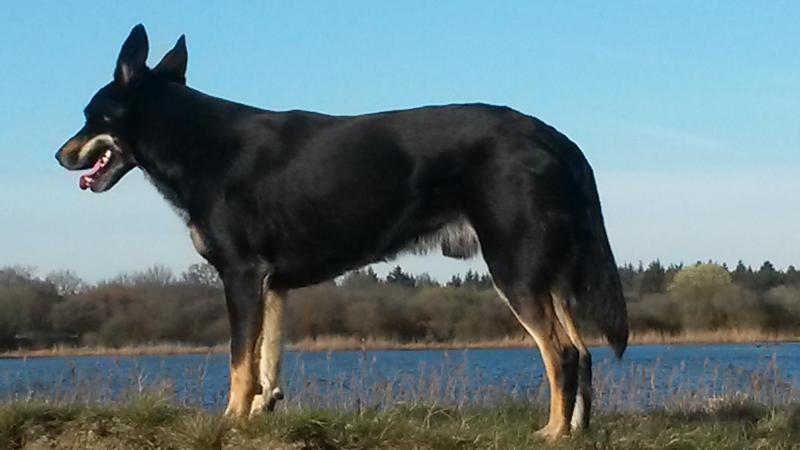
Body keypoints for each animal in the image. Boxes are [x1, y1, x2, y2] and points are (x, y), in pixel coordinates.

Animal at [56, 24, 628, 440]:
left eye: (89, 116)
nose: (60, 155)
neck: (199, 144)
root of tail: (553, 137)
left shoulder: (240, 275)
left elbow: (240, 361)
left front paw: (231, 421)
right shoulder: (271, 285)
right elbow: (267, 362)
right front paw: (261, 414)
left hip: (516, 269)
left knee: (562, 354)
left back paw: (552, 432)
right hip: (548, 273)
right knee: (585, 354)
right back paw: (576, 431)